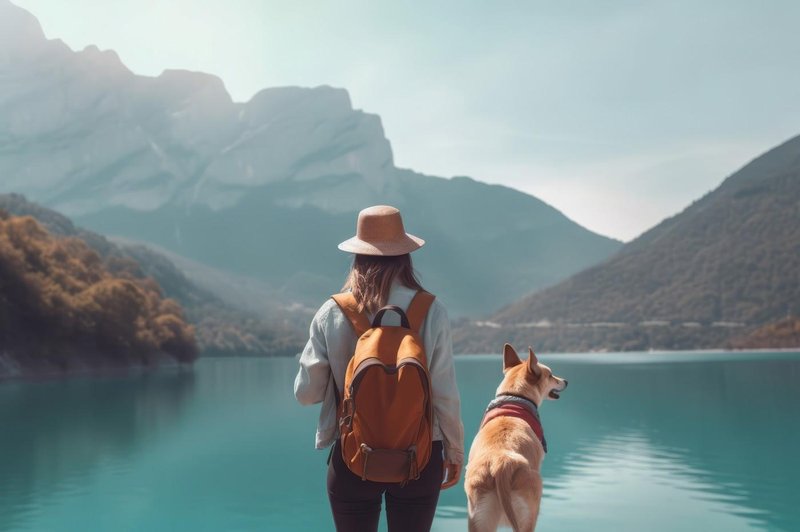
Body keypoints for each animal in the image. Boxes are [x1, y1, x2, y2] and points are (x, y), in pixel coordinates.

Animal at [462, 342, 568, 528]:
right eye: (550, 375)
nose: (566, 381)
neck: (515, 396)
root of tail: (501, 465)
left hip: (478, 516)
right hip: (529, 511)